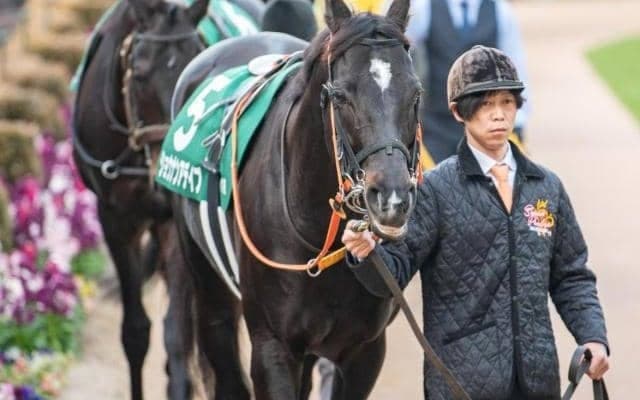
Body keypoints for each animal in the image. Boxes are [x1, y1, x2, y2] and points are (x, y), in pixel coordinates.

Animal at [167, 0, 422, 397]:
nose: (392, 197)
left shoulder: (364, 351)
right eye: (341, 96)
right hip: (209, 292)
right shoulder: (273, 346)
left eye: (415, 94)